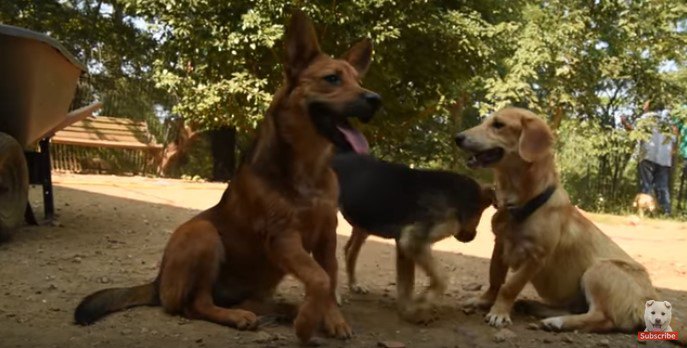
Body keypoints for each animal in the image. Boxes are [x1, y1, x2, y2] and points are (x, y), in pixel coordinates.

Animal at [74, 9, 382, 344]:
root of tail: (157, 283)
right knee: (193, 305)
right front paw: (306, 325)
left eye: (359, 81)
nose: (375, 99)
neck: (308, 171)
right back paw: (239, 317)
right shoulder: (283, 237)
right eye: (332, 79)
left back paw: (281, 310)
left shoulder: (327, 236)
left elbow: (330, 276)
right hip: (203, 234)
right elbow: (319, 278)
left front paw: (331, 319)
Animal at [332, 153, 494, 324]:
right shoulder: (412, 241)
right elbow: (442, 278)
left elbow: (406, 284)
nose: (472, 237)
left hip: (364, 222)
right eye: (480, 216)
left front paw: (408, 310)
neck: (459, 197)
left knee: (350, 250)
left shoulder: (404, 244)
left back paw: (354, 284)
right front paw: (420, 305)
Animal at [454, 107, 684, 344]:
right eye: (485, 121)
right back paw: (536, 307)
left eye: (498, 125)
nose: (457, 137)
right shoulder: (500, 245)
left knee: (603, 318)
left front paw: (499, 313)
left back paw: (557, 322)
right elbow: (495, 280)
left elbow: (510, 286)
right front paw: (483, 301)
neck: (523, 203)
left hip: (600, 270)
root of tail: (649, 302)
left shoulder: (535, 257)